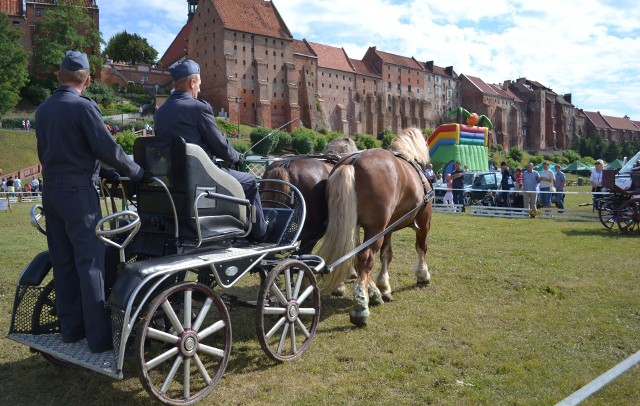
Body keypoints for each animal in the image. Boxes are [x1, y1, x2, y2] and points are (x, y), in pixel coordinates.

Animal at [318, 128, 432, 328]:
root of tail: (352, 162)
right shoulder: (423, 221)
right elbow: (421, 248)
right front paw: (423, 275)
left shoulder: (388, 228)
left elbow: (386, 254)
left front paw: (383, 286)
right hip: (376, 229)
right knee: (365, 258)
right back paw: (361, 308)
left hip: (355, 226)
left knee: (351, 254)